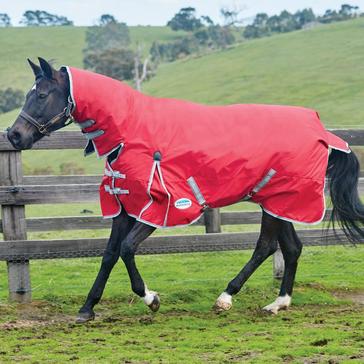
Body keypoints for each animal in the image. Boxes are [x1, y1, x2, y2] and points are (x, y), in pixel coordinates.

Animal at [5, 58, 364, 322]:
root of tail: (321, 130)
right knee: (290, 248)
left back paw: (225, 298)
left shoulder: (161, 208)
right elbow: (109, 254)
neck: (131, 132)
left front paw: (151, 298)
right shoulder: (124, 207)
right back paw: (278, 303)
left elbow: (127, 249)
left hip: (278, 202)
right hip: (277, 202)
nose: (14, 135)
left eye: (41, 95)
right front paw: (86, 309)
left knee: (265, 246)